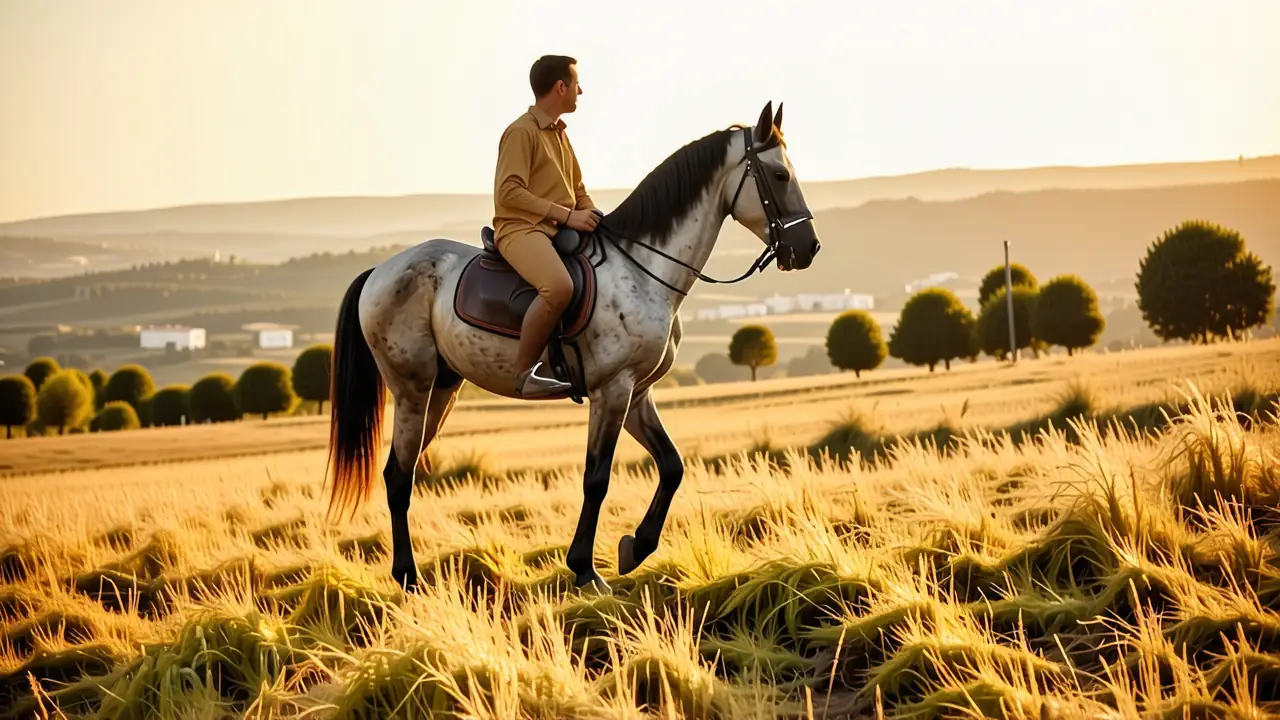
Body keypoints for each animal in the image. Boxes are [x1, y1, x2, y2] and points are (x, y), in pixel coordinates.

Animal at [324, 100, 822, 594]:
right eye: (780, 175)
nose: (808, 248)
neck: (643, 269)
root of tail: (380, 271)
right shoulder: (611, 390)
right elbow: (596, 479)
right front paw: (585, 568)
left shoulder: (636, 393)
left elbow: (672, 465)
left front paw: (635, 548)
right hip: (413, 388)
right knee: (398, 475)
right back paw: (408, 576)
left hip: (441, 391)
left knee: (400, 471)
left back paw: (409, 576)